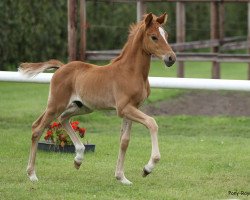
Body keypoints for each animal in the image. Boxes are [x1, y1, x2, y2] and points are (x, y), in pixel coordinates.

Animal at [20, 12, 176, 184]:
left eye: (166, 35)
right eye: (154, 37)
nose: (171, 58)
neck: (131, 72)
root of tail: (61, 67)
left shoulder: (133, 107)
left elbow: (124, 141)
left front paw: (121, 177)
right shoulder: (124, 108)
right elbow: (152, 123)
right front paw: (147, 168)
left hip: (81, 107)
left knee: (63, 118)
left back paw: (78, 158)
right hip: (56, 104)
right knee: (37, 128)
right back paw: (32, 174)